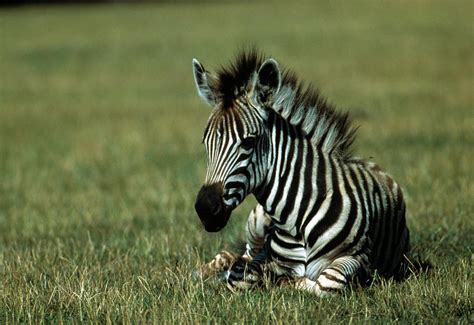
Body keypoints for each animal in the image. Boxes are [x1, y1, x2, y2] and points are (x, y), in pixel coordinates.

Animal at [191, 49, 410, 294]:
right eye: (206, 143)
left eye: (248, 142)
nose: (205, 209)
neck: (296, 220)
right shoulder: (265, 253)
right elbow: (242, 274)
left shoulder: (358, 257)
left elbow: (327, 281)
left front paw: (283, 280)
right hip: (256, 221)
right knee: (238, 254)